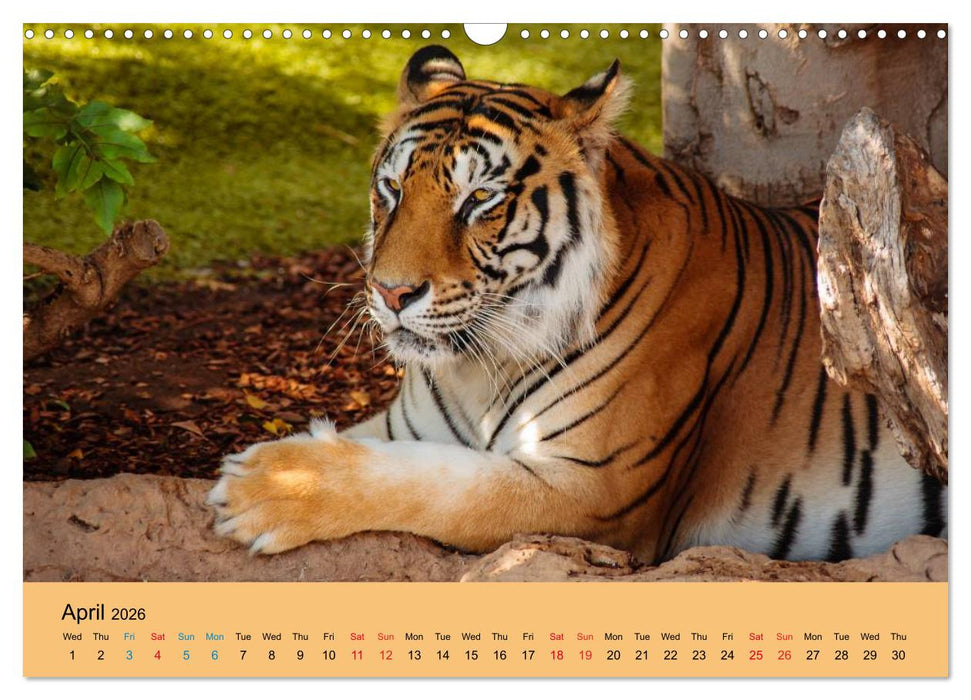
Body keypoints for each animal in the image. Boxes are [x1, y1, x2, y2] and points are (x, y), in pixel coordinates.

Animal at [207, 45, 947, 565]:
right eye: (391, 189)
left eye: (479, 199)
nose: (390, 293)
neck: (476, 367)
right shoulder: (403, 427)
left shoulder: (593, 492)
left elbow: (440, 486)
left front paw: (265, 486)